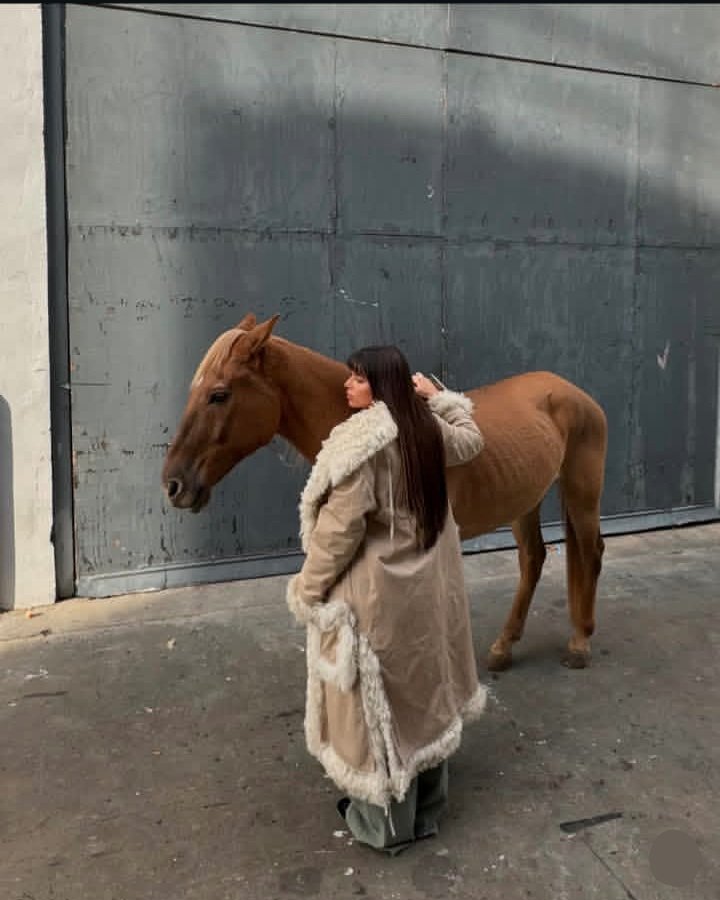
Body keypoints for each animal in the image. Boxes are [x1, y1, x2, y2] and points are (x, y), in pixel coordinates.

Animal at [162, 313, 607, 671]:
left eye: (219, 394)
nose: (174, 484)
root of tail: (571, 391)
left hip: (581, 491)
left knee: (591, 550)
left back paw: (580, 641)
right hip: (524, 500)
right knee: (532, 559)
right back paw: (503, 647)